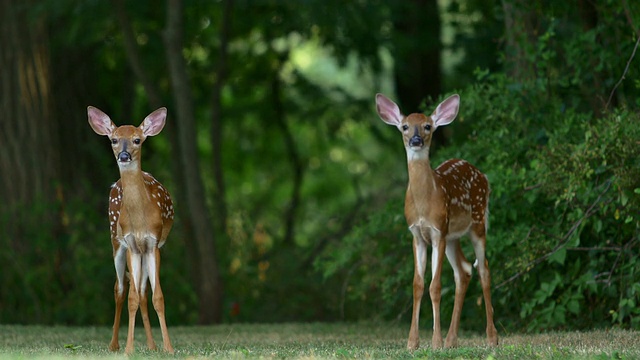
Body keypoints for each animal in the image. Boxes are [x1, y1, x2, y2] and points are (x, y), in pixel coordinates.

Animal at [87, 107, 174, 354]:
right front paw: (128, 349)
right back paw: (114, 344)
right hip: (116, 242)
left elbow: (157, 297)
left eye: (137, 140)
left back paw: (152, 346)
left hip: (142, 252)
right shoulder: (131, 245)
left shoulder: (153, 244)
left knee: (143, 292)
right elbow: (131, 298)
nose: (124, 156)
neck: (140, 219)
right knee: (120, 288)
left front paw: (168, 347)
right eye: (114, 140)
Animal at [376, 93, 500, 348]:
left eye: (427, 126)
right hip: (453, 236)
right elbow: (418, 285)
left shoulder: (437, 231)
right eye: (405, 126)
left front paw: (434, 342)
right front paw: (412, 343)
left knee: (484, 270)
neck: (425, 203)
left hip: (477, 222)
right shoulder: (417, 234)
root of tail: (482, 175)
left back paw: (492, 338)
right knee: (464, 271)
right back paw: (452, 340)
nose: (415, 140)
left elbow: (435, 286)